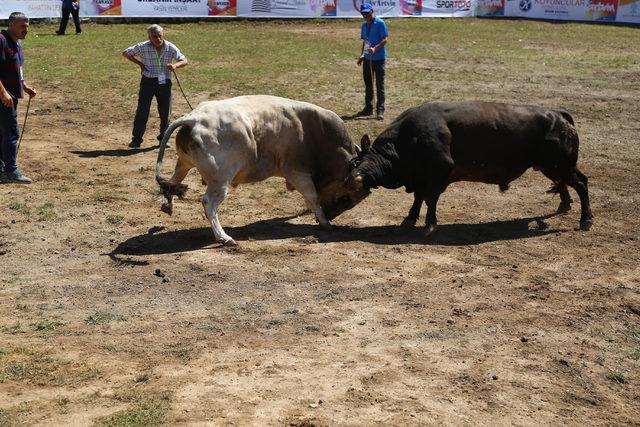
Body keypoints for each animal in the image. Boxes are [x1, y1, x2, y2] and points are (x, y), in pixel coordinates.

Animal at [154, 95, 370, 246]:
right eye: (346, 197)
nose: (331, 215)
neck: (317, 133)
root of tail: (194, 118)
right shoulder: (296, 172)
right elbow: (312, 197)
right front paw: (325, 222)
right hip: (220, 181)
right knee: (208, 203)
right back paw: (223, 237)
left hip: (183, 164)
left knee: (172, 182)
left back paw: (167, 205)